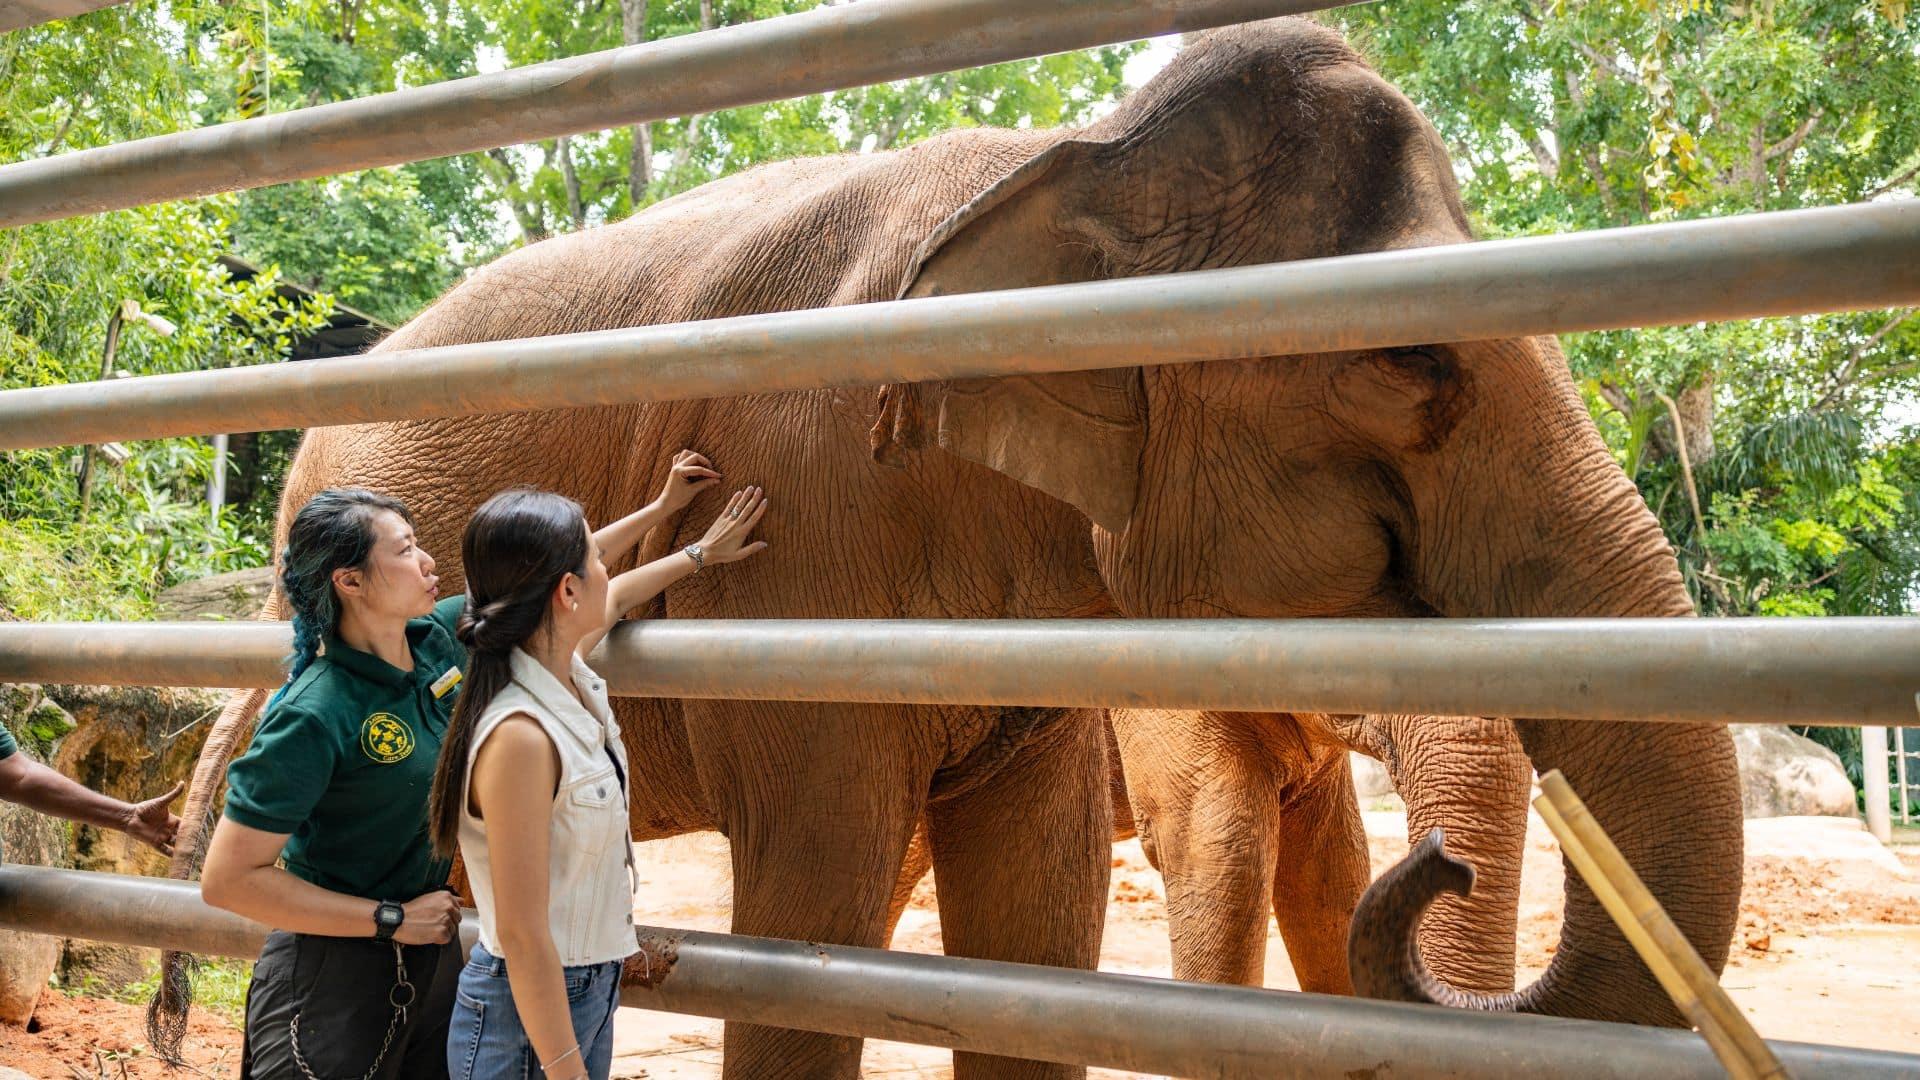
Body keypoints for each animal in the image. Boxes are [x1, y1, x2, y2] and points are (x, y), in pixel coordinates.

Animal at [172, 12, 1751, 1068]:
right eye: (1412, 361)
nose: (1446, 867)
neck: (1069, 163)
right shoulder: (815, 551)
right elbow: (821, 919)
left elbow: (1040, 926)